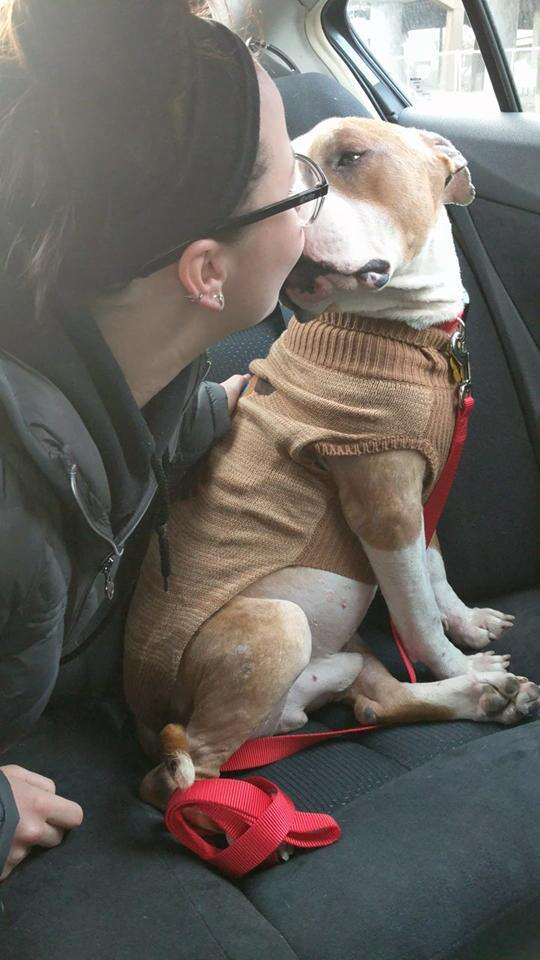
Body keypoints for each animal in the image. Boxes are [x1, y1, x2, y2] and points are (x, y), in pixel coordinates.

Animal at [124, 118, 536, 808]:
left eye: (350, 157)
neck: (402, 332)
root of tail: (150, 722)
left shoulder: (420, 494)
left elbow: (434, 571)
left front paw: (469, 623)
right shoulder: (384, 507)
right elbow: (417, 614)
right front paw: (458, 656)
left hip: (347, 648)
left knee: (376, 702)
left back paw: (485, 697)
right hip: (277, 624)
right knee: (195, 767)